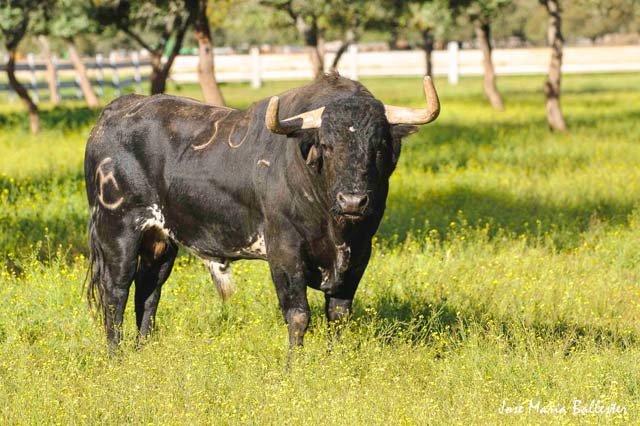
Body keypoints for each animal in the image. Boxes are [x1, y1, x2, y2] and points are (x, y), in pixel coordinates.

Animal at [85, 73, 440, 352]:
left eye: (379, 146)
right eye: (327, 145)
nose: (353, 201)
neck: (334, 227)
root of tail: (113, 113)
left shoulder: (360, 252)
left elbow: (338, 314)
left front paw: (333, 359)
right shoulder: (284, 250)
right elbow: (298, 314)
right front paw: (294, 367)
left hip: (160, 240)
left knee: (148, 290)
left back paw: (142, 349)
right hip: (117, 231)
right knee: (116, 291)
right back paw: (117, 355)